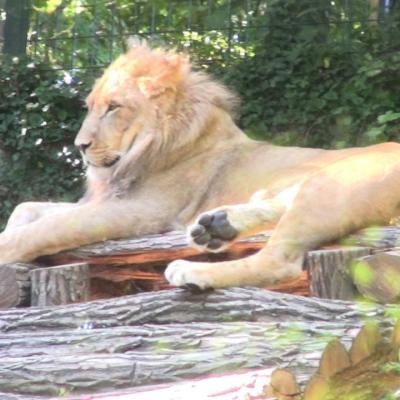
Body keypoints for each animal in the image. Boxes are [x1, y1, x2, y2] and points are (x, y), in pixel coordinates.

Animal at [2, 42, 400, 290]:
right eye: (90, 107)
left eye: (114, 108)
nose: (80, 146)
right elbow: (27, 208)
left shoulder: (141, 211)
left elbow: (46, 229)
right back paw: (216, 226)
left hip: (333, 182)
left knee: (278, 261)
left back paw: (192, 268)